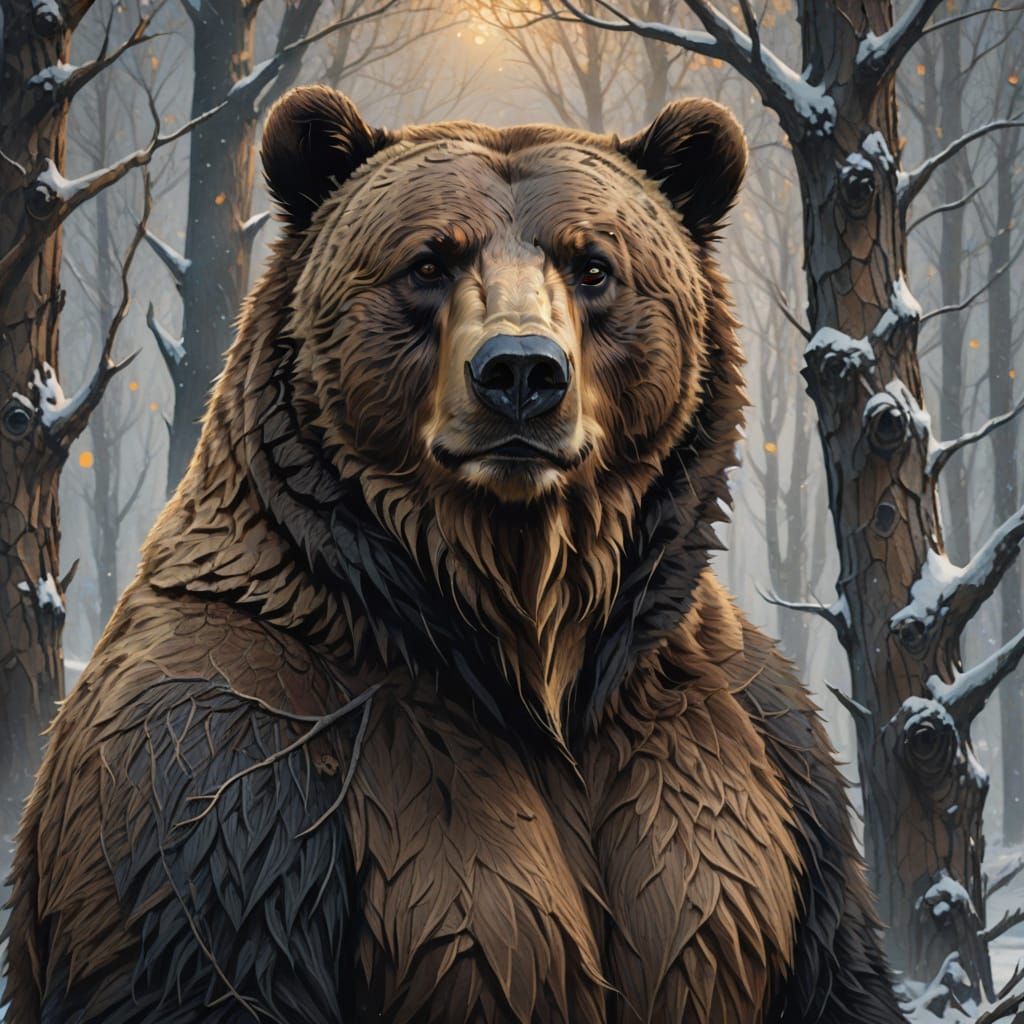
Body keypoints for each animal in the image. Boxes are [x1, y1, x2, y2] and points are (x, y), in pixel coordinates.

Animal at [3, 86, 905, 1024]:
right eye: (428, 260)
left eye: (594, 266)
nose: (521, 373)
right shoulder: (221, 768)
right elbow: (219, 961)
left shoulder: (763, 754)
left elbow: (813, 957)